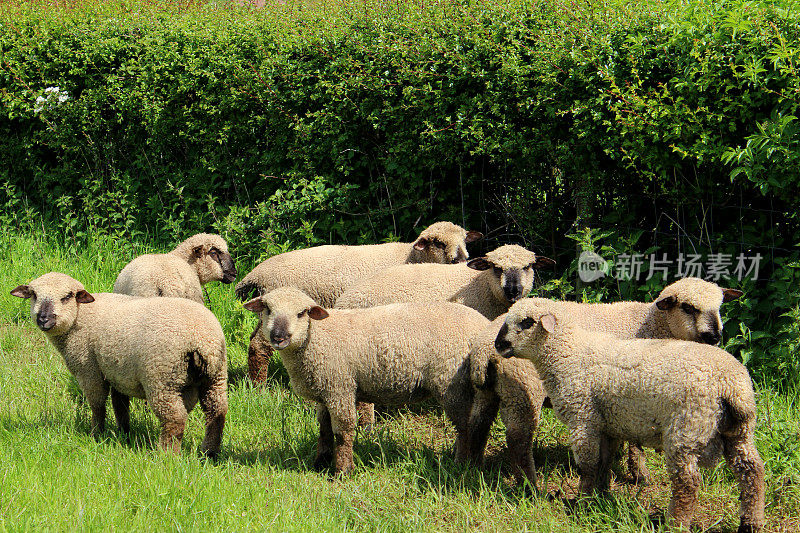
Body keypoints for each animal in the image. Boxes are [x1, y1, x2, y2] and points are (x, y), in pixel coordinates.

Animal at [14, 272, 230, 456]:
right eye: (34, 295)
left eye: (67, 296)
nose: (43, 319)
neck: (81, 316)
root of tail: (201, 339)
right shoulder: (117, 372)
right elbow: (120, 405)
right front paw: (123, 432)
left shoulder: (89, 369)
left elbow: (98, 405)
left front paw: (96, 434)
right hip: (215, 376)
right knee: (217, 412)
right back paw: (209, 452)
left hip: (161, 377)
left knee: (175, 418)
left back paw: (166, 454)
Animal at [231, 218, 482, 384]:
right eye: (438, 243)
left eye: (464, 239)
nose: (461, 259)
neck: (410, 256)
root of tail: (256, 274)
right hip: (279, 311)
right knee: (260, 346)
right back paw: (260, 388)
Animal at [239, 286, 488, 474]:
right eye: (267, 309)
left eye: (302, 313)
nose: (278, 337)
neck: (316, 338)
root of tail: (483, 324)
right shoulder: (325, 391)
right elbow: (324, 430)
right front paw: (320, 463)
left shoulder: (340, 387)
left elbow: (343, 432)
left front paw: (342, 471)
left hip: (451, 382)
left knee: (465, 426)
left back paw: (460, 463)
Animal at [468, 276, 744, 484]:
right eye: (688, 307)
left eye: (720, 306)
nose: (714, 337)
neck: (653, 322)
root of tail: (484, 348)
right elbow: (634, 443)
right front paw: (640, 475)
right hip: (522, 390)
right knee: (519, 440)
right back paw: (531, 486)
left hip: (490, 390)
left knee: (477, 424)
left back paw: (470, 467)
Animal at [496, 304, 764, 532]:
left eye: (527, 322)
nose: (499, 344)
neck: (568, 353)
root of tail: (730, 385)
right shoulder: (607, 423)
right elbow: (604, 461)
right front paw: (600, 496)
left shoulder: (583, 418)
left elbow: (588, 465)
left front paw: (583, 500)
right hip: (739, 432)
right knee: (752, 472)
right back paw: (750, 523)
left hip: (687, 428)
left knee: (687, 484)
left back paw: (675, 524)